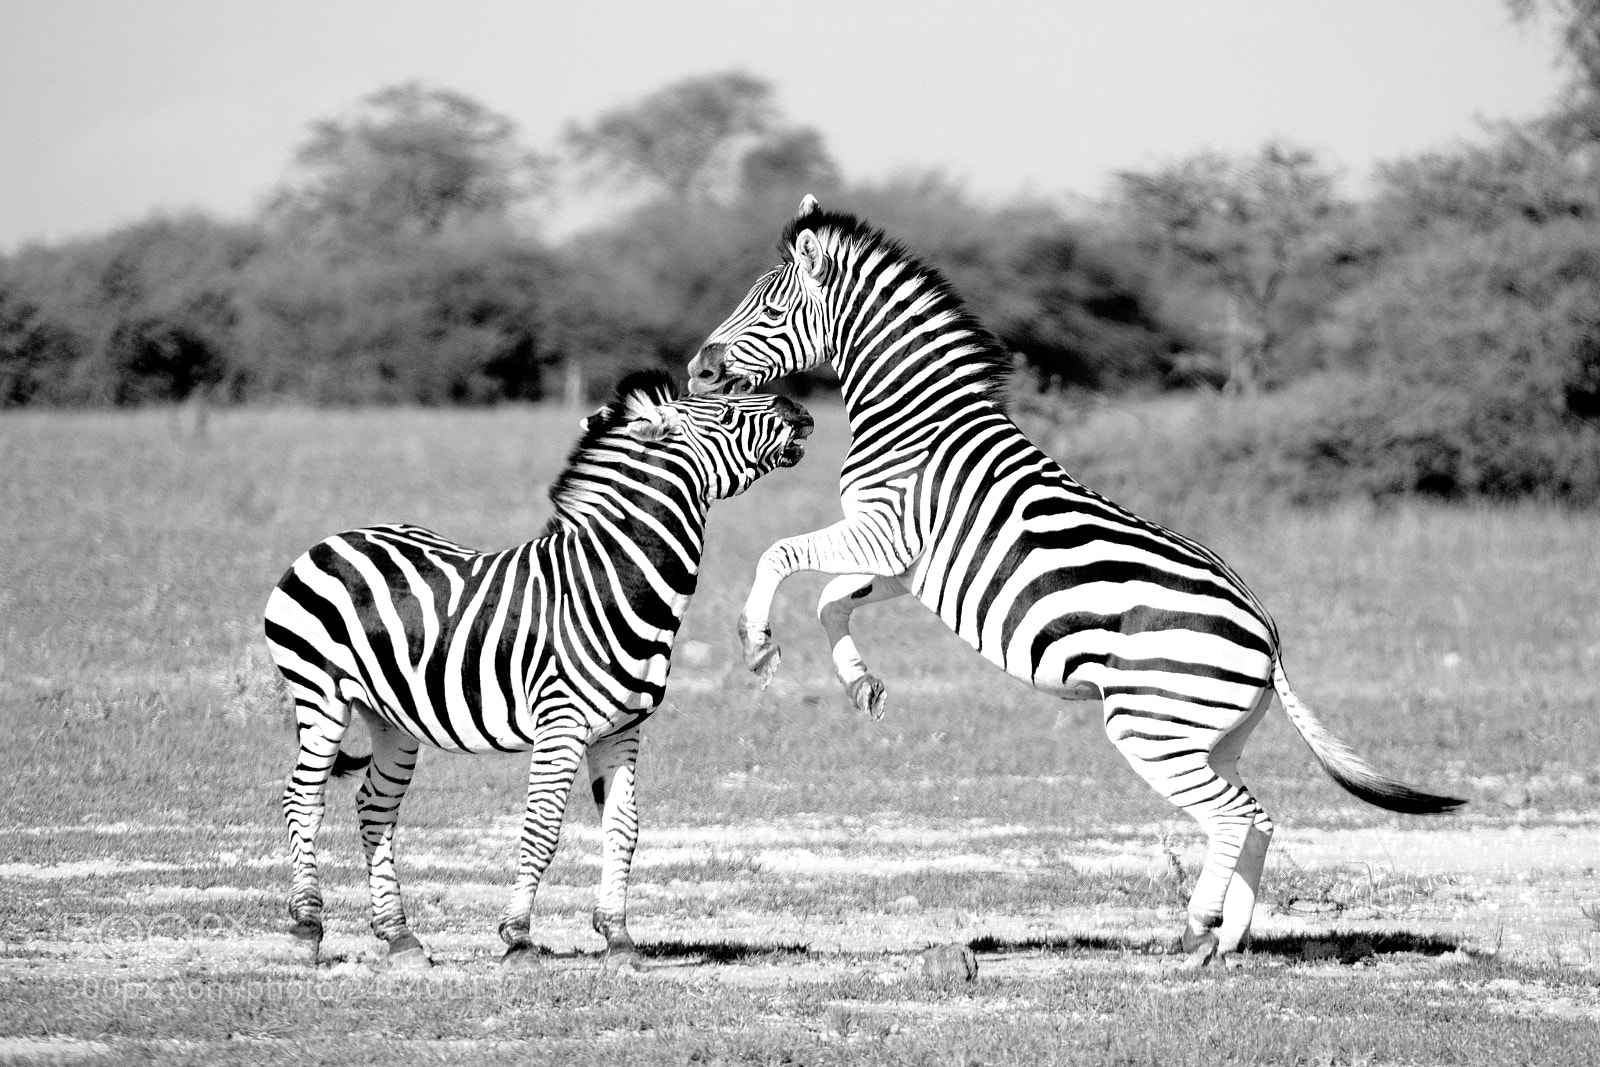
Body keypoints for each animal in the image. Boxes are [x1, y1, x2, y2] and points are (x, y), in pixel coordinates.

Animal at [264, 370, 812, 969]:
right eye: (727, 413)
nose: (803, 410)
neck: (611, 580)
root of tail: (335, 538)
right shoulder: (561, 722)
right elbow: (542, 828)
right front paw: (518, 937)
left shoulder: (622, 729)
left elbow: (624, 827)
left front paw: (618, 937)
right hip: (320, 694)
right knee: (302, 799)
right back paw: (308, 926)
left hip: (390, 717)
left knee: (374, 807)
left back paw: (399, 936)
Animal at [686, 196, 1463, 967]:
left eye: (768, 309)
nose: (696, 369)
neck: (917, 421)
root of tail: (1270, 641)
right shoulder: (904, 562)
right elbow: (829, 600)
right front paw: (860, 683)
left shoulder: (888, 531)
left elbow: (778, 555)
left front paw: (756, 642)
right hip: (1209, 735)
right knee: (1258, 819)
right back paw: (1231, 937)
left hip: (1149, 726)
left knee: (1236, 815)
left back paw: (1198, 927)